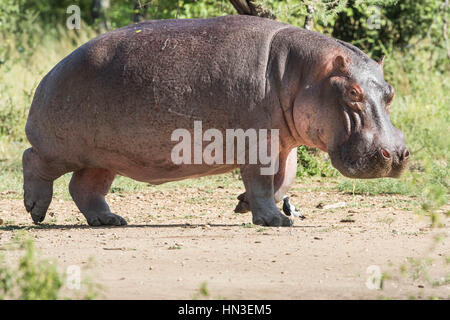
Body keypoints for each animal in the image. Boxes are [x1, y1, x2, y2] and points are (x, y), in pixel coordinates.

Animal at [21, 14, 410, 225]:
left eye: (390, 92)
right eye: (353, 93)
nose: (396, 155)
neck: (302, 72)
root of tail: (51, 71)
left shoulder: (285, 144)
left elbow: (283, 180)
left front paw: (243, 205)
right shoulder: (258, 144)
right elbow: (263, 182)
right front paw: (275, 220)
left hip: (104, 156)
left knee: (85, 188)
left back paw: (110, 220)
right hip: (61, 148)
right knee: (33, 161)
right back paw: (36, 212)